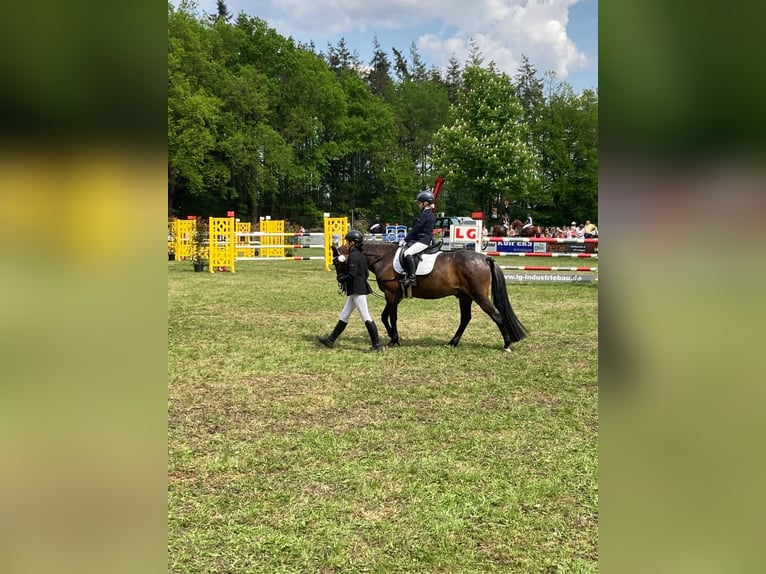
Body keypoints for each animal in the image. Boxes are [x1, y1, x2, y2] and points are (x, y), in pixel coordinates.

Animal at [340, 242, 528, 352]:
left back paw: (507, 344)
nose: (341, 282)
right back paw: (453, 342)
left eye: (338, 261)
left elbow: (392, 317)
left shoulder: (391, 294)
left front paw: (394, 340)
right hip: (465, 296)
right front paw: (394, 337)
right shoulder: (394, 296)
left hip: (478, 296)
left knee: (495, 315)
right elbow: (385, 316)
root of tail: (485, 258)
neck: (384, 258)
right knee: (465, 318)